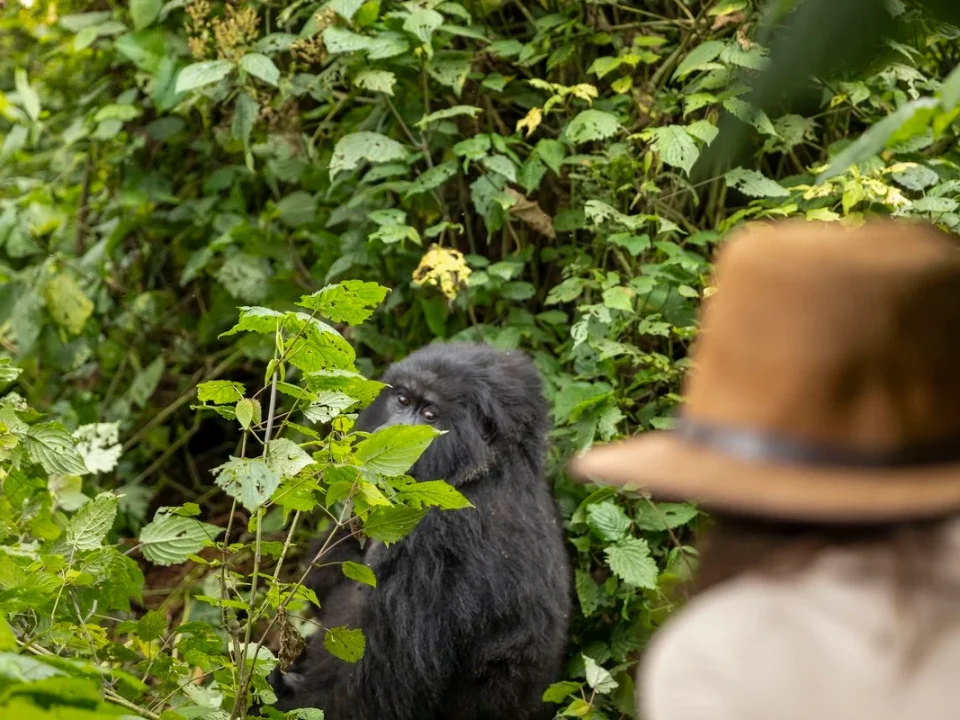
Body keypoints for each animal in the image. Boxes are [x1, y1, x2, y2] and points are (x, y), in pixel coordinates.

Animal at [269, 342, 572, 720]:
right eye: (402, 400)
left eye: (429, 415)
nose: (388, 438)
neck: (487, 469)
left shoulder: (439, 537)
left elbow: (375, 691)